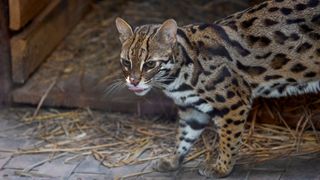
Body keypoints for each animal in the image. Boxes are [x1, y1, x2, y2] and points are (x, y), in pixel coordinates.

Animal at [114, 0, 320, 177]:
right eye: (126, 62)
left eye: (150, 64)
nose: (133, 81)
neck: (176, 80)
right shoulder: (191, 109)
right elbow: (184, 136)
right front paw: (173, 160)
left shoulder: (234, 103)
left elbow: (229, 140)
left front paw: (221, 168)